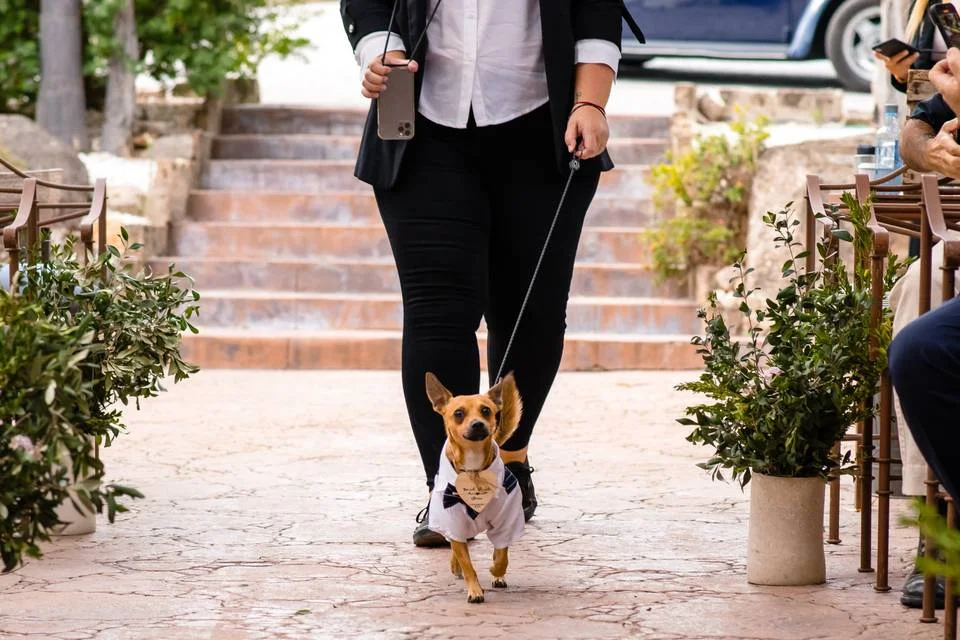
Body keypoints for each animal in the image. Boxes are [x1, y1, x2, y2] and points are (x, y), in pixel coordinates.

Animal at [426, 372, 524, 604]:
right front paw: (475, 590)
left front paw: (497, 571)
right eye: (458, 413)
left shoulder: (505, 522)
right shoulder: (453, 521)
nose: (478, 424)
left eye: (486, 410)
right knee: (456, 546)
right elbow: (468, 564)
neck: (474, 470)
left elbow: (502, 555)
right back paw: (456, 566)